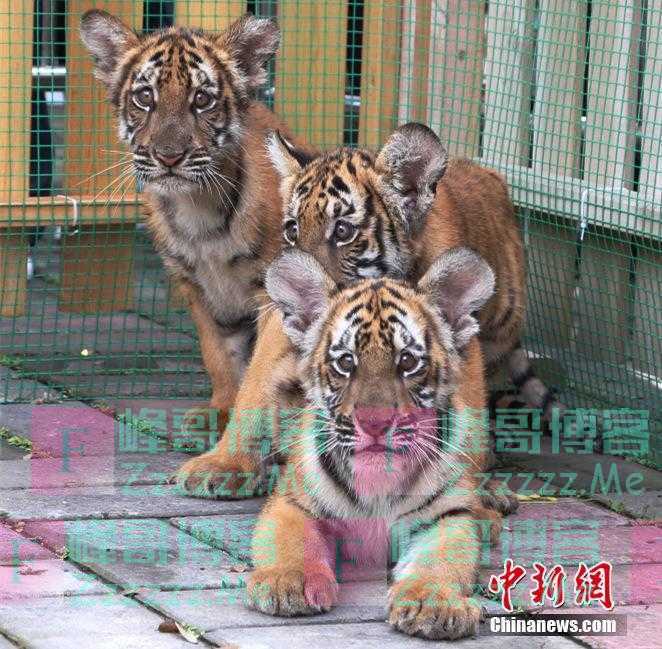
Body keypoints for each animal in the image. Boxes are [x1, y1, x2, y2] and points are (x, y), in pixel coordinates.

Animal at [80, 9, 308, 431]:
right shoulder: (196, 286)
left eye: (202, 100)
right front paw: (220, 408)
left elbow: (261, 367)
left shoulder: (274, 293)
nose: (169, 156)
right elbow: (217, 354)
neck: (197, 208)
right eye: (145, 97)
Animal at [246, 248, 500, 640]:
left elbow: (441, 560)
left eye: (408, 361)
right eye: (345, 362)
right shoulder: (293, 503)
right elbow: (293, 542)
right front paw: (289, 583)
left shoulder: (443, 517)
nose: (375, 424)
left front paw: (433, 604)